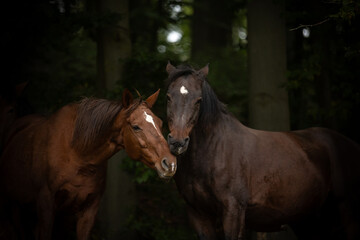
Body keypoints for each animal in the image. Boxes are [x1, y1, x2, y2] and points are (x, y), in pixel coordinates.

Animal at [0, 89, 177, 240]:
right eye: (135, 126)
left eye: (160, 123)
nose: (170, 163)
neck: (77, 155)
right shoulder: (46, 207)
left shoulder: (88, 211)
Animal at [165, 62, 360, 239]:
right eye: (168, 97)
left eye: (198, 100)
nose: (178, 142)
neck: (214, 151)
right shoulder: (199, 215)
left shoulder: (233, 211)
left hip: (345, 212)